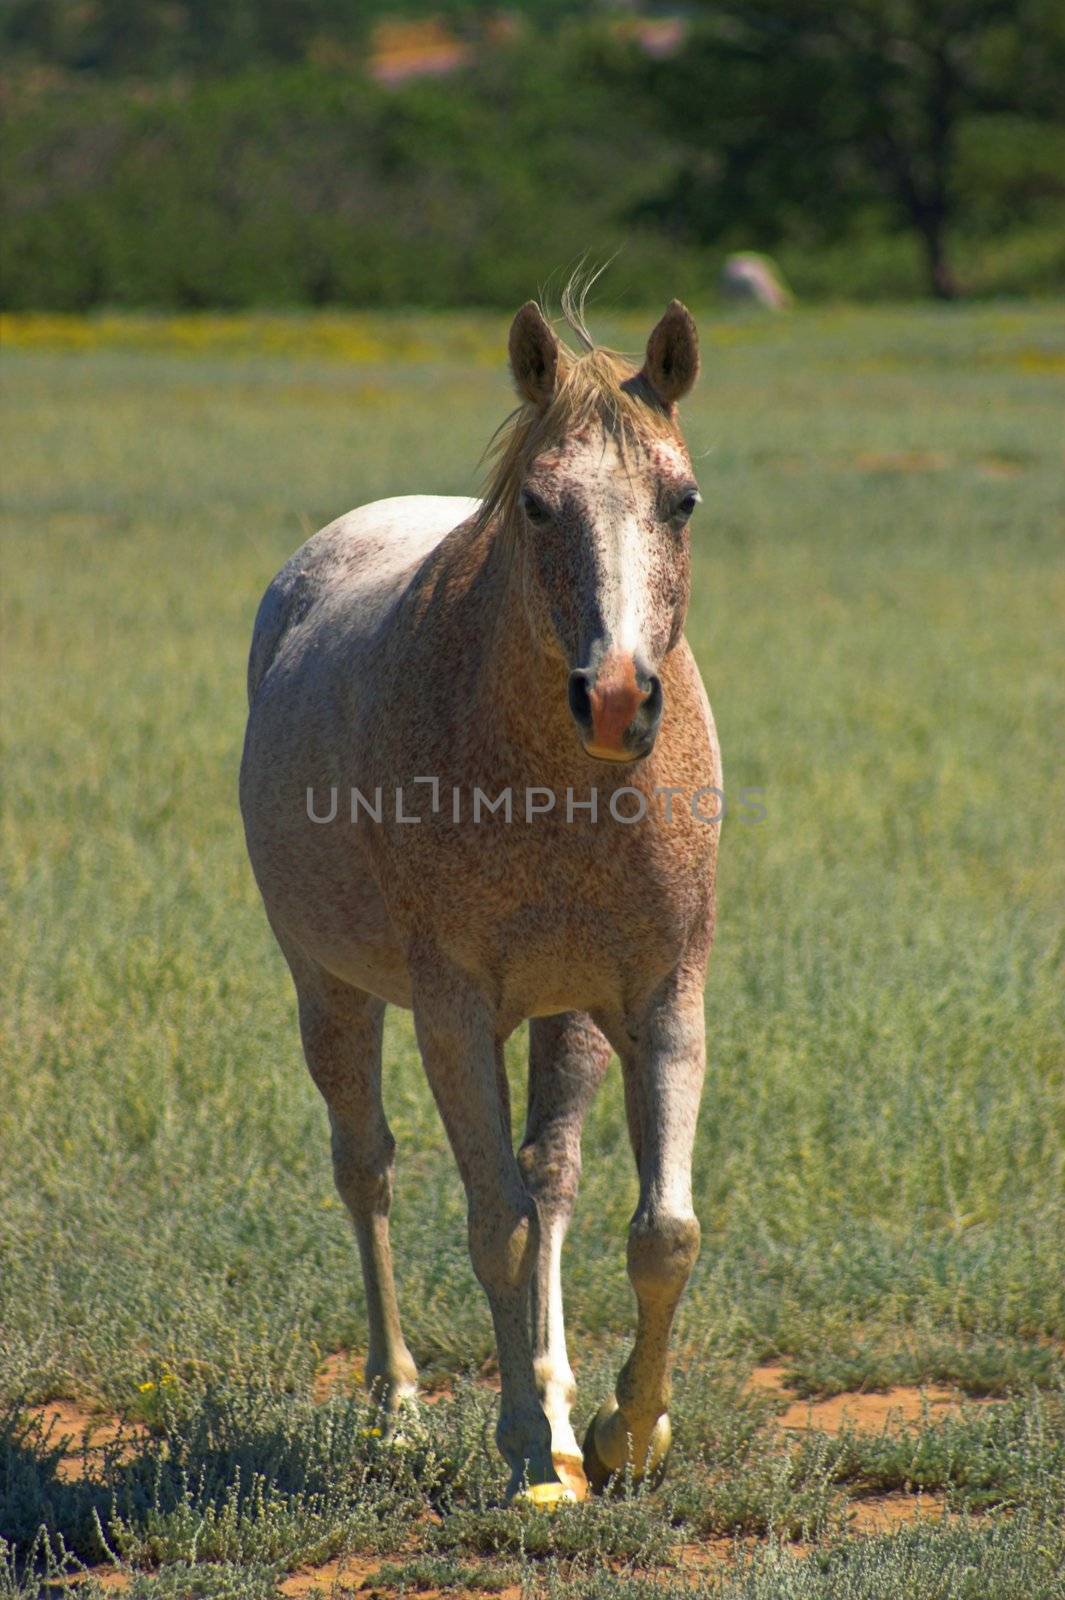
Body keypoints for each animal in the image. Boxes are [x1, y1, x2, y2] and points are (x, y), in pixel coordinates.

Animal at [238, 294, 722, 1504]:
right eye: (540, 505)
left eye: (683, 499)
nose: (616, 699)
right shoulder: (452, 1015)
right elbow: (492, 1224)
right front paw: (528, 1457)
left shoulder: (661, 999)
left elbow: (660, 1230)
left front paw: (623, 1431)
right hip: (331, 992)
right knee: (366, 1170)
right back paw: (396, 1407)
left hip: (565, 1016)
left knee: (551, 1178)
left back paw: (557, 1406)